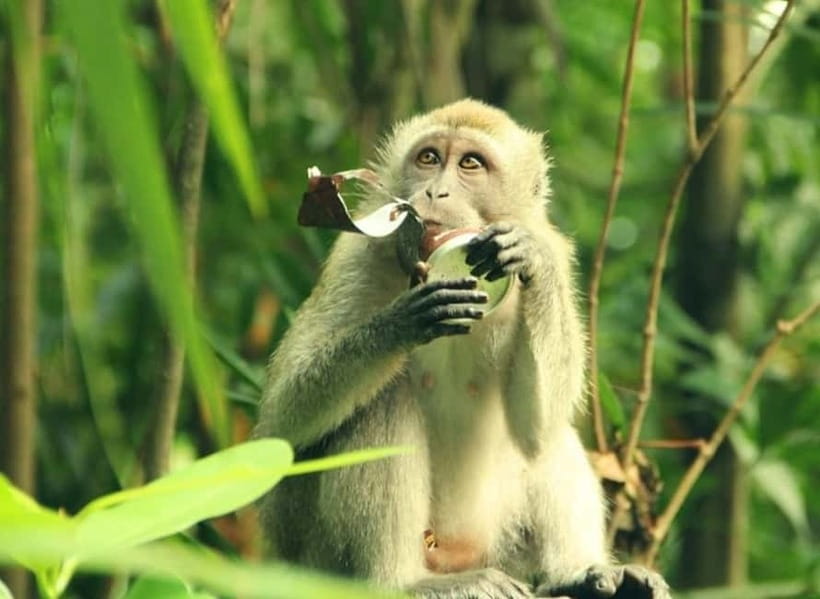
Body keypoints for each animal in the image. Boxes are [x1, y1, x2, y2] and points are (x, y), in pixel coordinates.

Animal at [254, 99, 670, 598]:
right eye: (429, 158)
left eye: (470, 163)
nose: (435, 192)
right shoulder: (357, 258)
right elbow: (283, 420)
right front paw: (404, 321)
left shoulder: (551, 245)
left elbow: (538, 425)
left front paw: (528, 257)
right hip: (319, 561)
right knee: (381, 404)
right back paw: (404, 583)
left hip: (499, 542)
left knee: (551, 437)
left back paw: (581, 574)